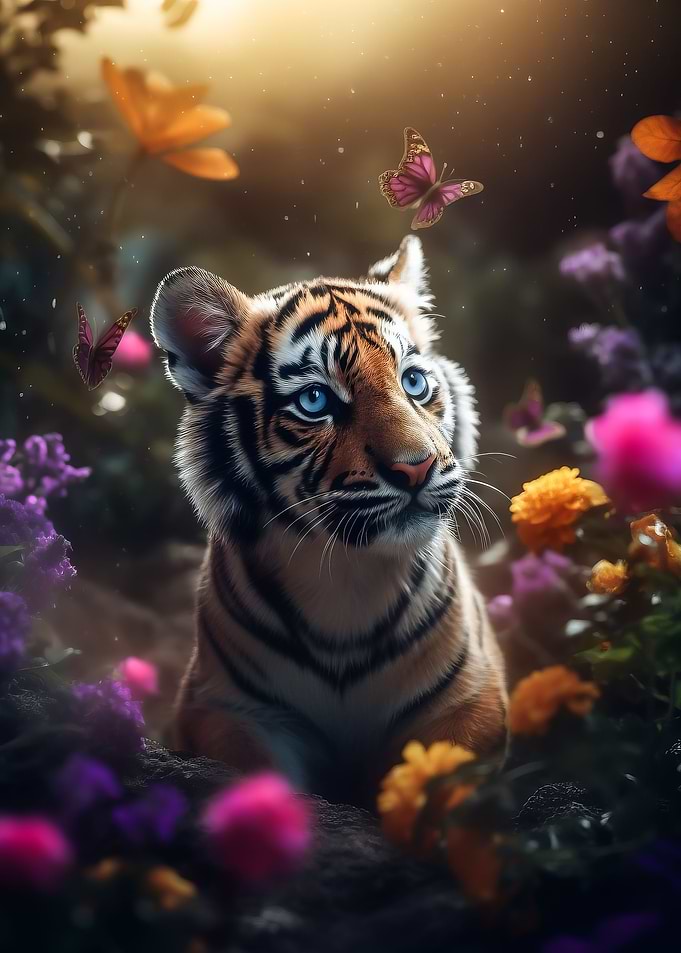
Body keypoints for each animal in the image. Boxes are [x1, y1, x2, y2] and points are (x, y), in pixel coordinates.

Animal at [150, 235, 507, 807]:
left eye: (413, 382)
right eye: (315, 400)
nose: (417, 467)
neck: (346, 575)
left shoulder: (470, 700)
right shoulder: (229, 710)